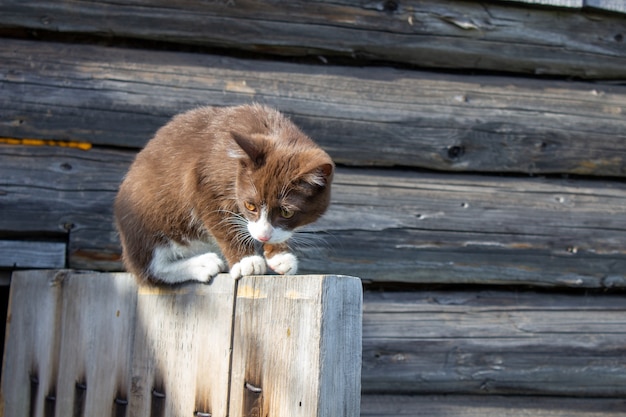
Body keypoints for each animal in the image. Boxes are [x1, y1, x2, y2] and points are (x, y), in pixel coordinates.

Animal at [114, 104, 334, 284]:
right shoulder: (202, 179)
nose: (262, 237)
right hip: (144, 216)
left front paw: (279, 254)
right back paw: (202, 264)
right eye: (250, 205)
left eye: (287, 212)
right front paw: (246, 261)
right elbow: (221, 221)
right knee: (150, 268)